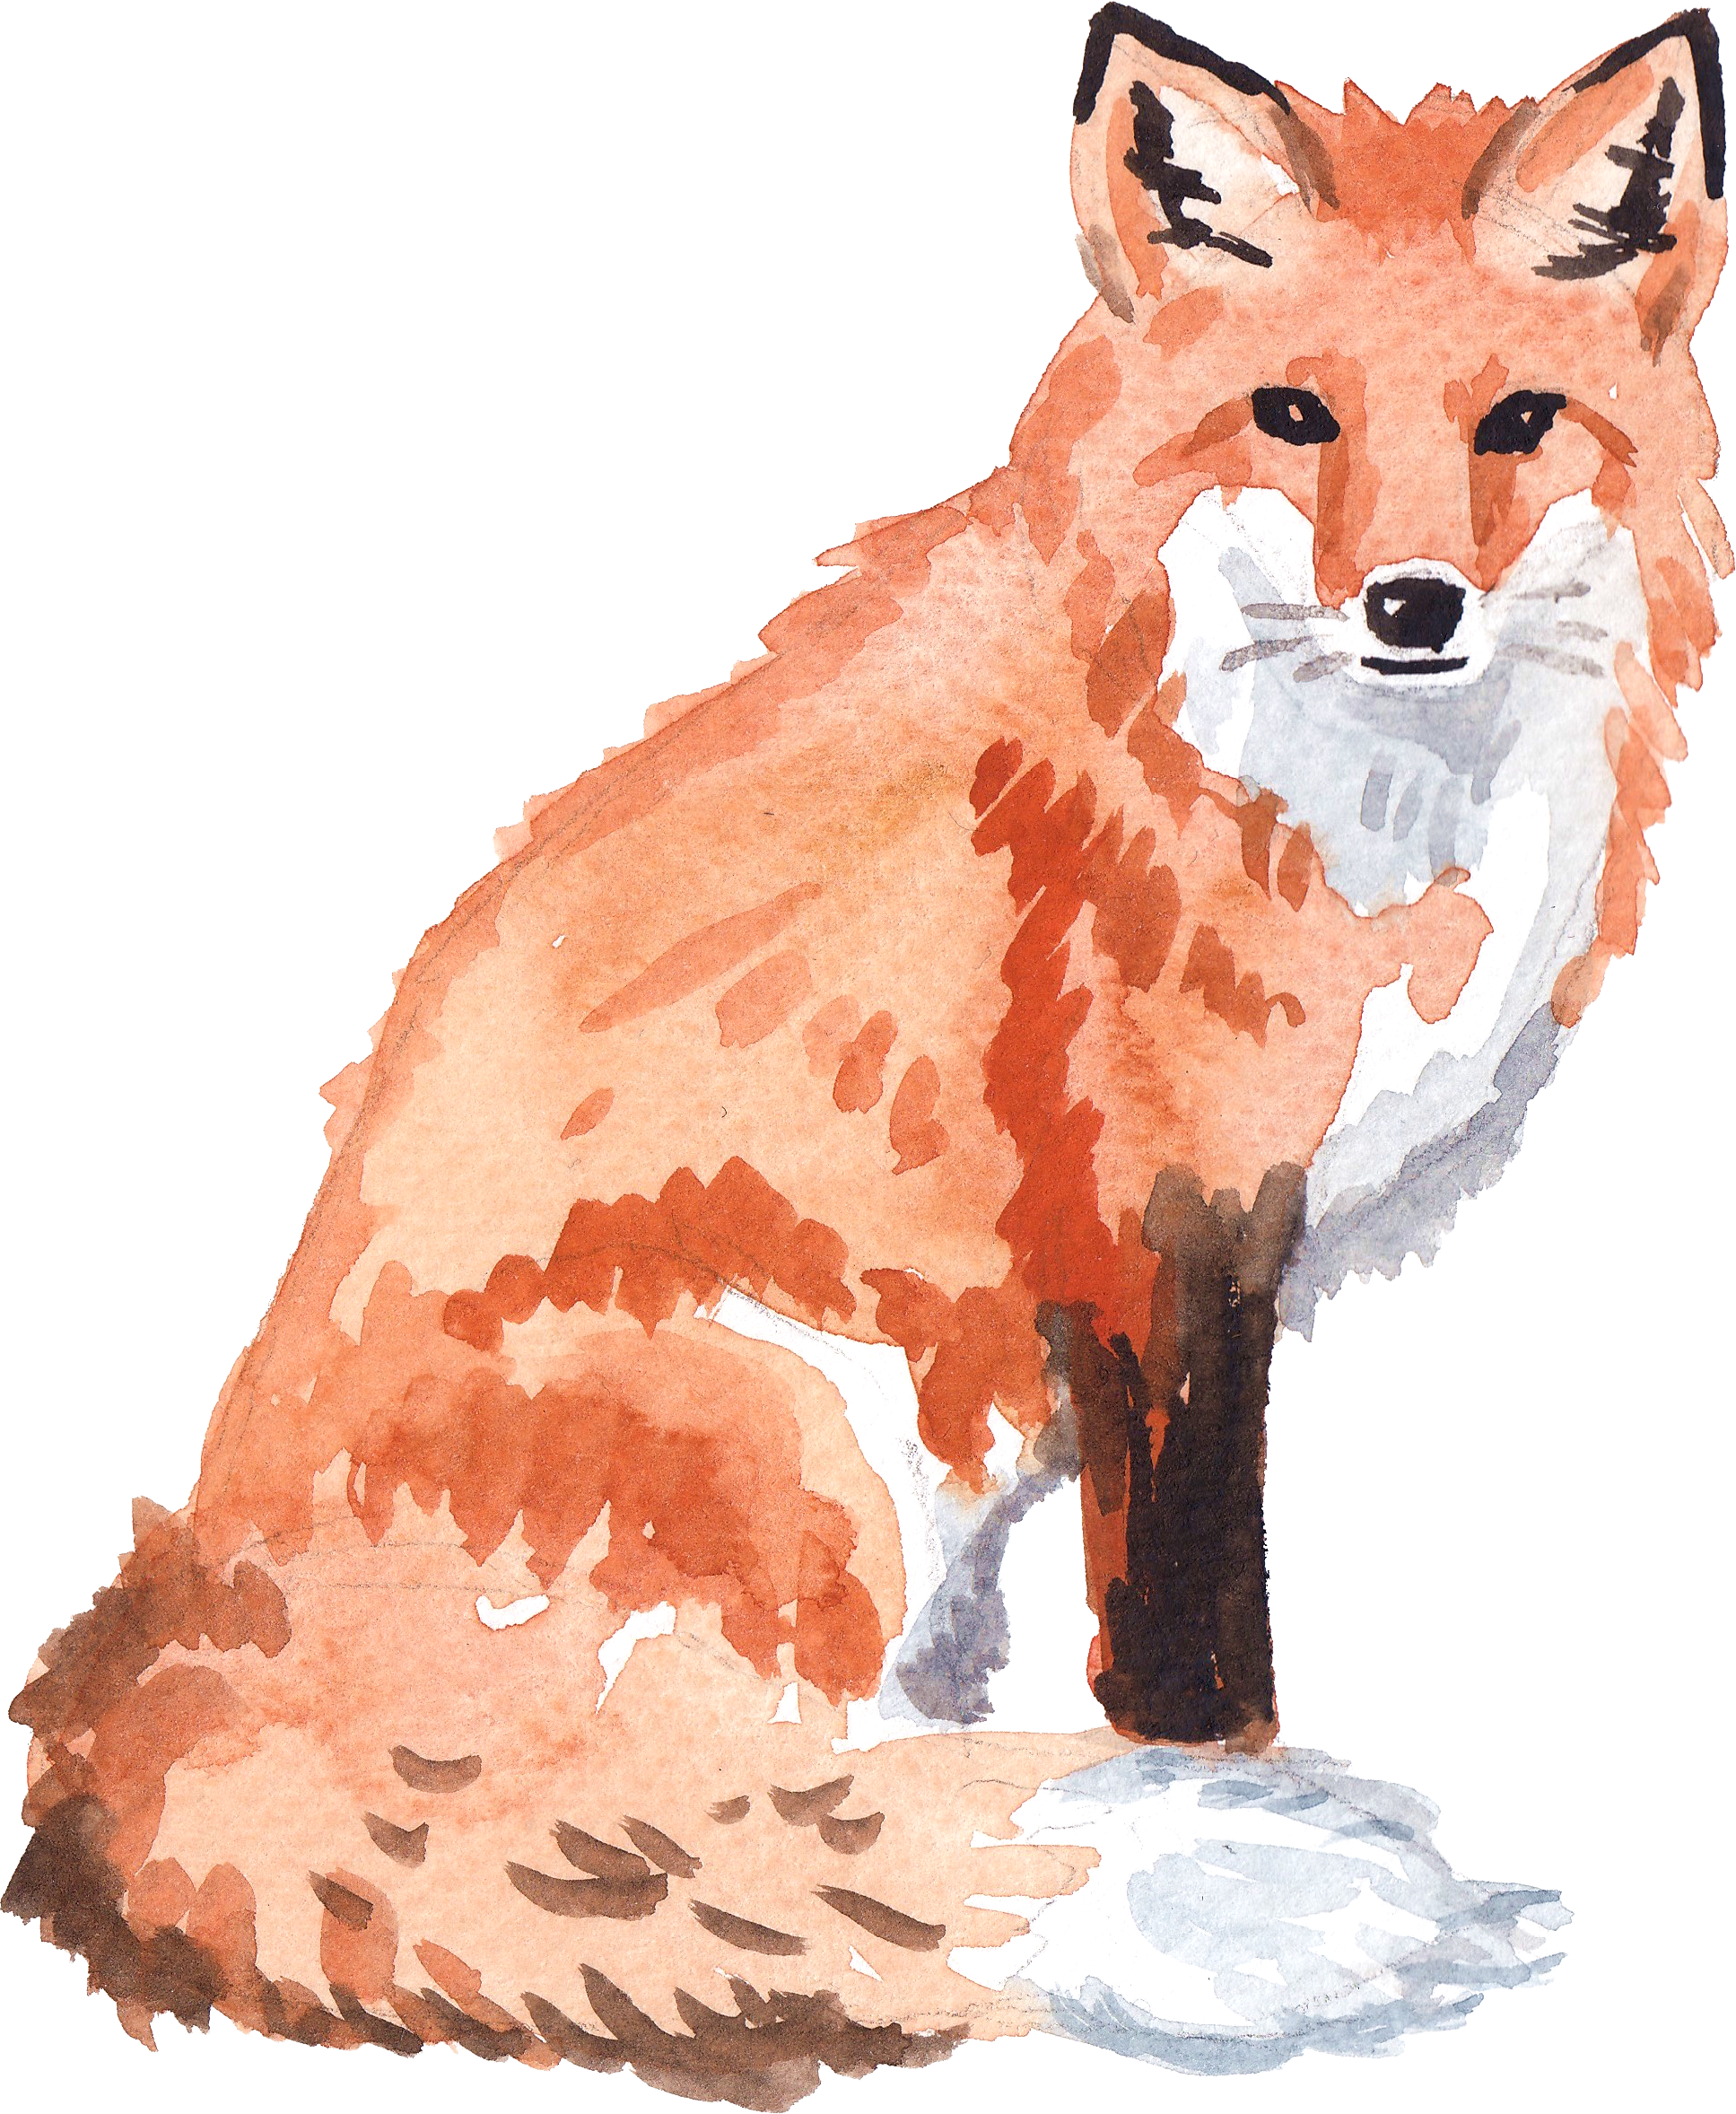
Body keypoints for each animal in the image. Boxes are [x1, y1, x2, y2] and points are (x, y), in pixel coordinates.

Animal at [8, 5, 1726, 2101]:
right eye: (1293, 416)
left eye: (1518, 424)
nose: (1412, 607)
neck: (1349, 793)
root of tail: (174, 1627)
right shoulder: (1155, 1221)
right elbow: (1191, 1631)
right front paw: (1224, 1798)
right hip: (810, 1423)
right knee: (772, 1792)